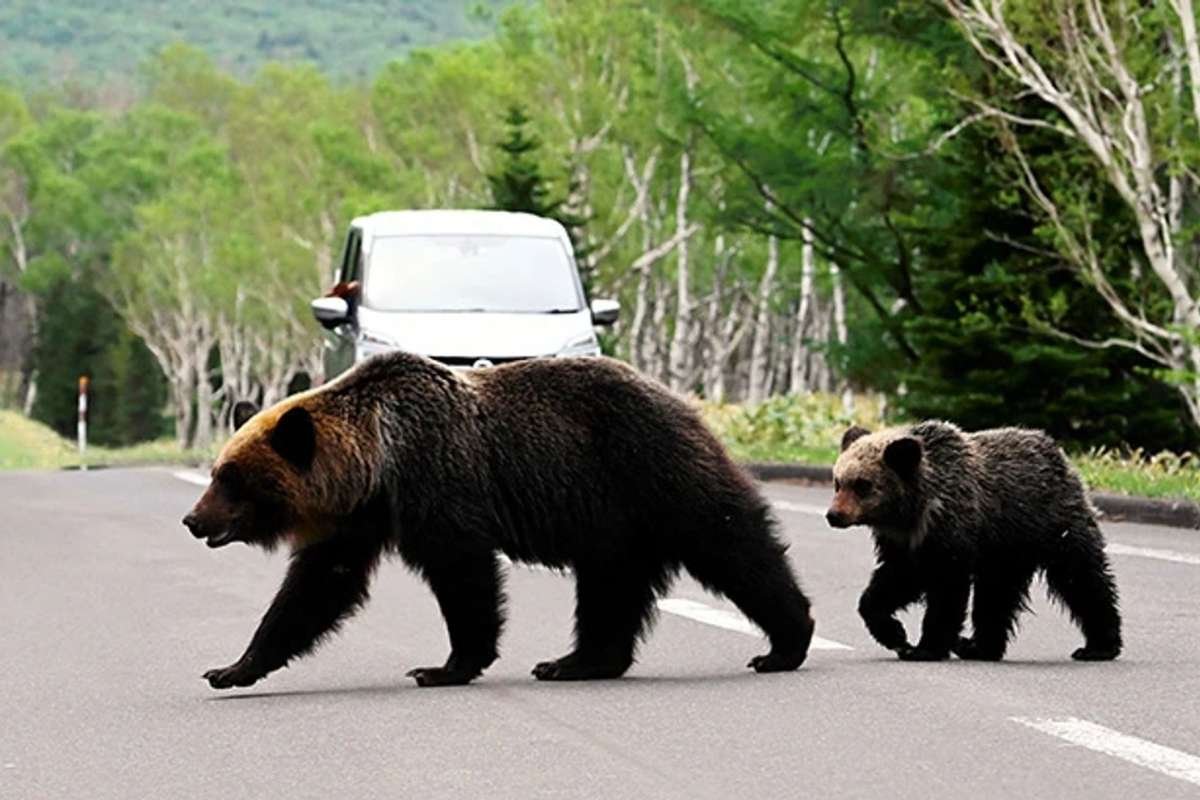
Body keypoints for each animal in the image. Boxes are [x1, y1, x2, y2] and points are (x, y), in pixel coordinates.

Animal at [182, 351, 815, 689]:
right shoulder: (358, 519)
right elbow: (316, 588)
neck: (378, 463)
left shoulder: (437, 484)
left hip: (649, 470)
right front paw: (232, 667)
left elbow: (463, 574)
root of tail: (684, 400)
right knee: (610, 588)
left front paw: (445, 665)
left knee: (731, 543)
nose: (192, 519)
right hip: (613, 522)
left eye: (231, 479)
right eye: (217, 471)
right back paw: (574, 661)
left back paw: (784, 644)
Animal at [826, 420, 1121, 662]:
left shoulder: (952, 531)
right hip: (1006, 552)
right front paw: (895, 635)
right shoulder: (903, 543)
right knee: (996, 596)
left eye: (862, 485)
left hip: (1053, 525)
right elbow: (893, 582)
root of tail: (1059, 453)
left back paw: (1098, 646)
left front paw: (925, 648)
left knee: (1081, 578)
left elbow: (946, 590)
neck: (912, 511)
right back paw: (979, 647)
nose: (834, 515)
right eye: (838, 482)